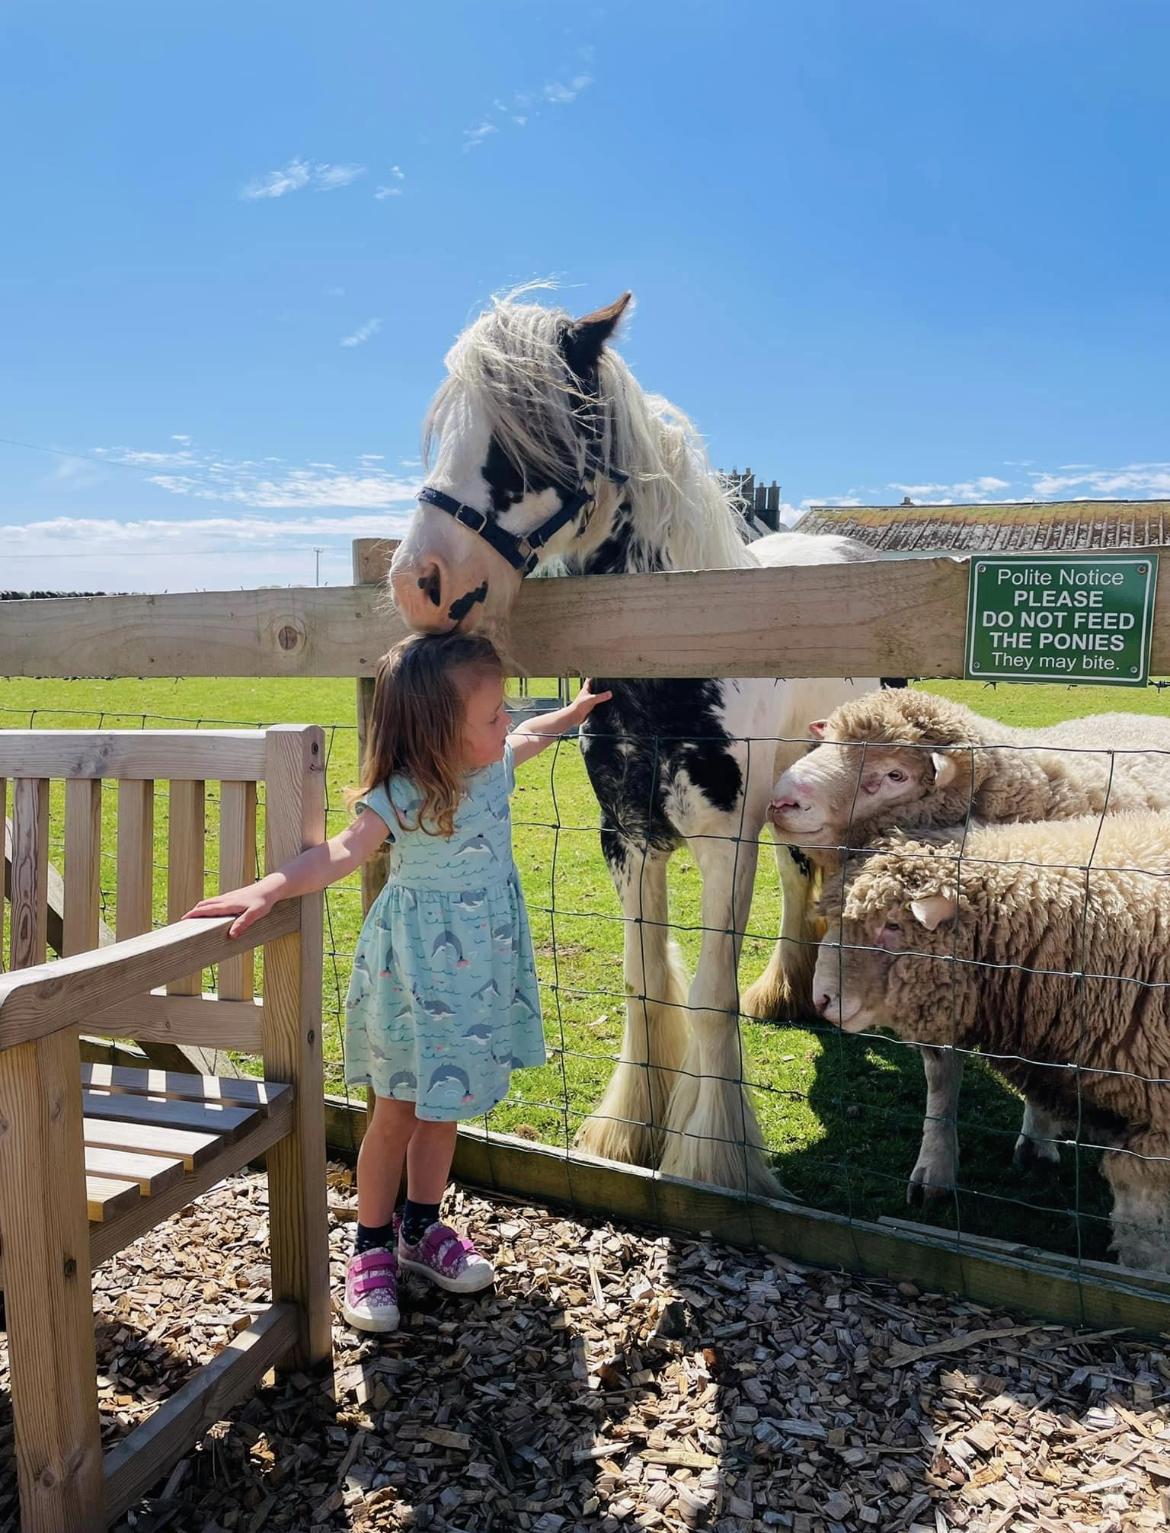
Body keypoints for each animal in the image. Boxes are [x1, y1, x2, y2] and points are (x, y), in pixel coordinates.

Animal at [392, 289, 877, 1195]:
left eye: (527, 429)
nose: (417, 582)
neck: (672, 661)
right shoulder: (626, 837)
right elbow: (645, 982)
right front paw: (630, 1132)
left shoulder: (725, 843)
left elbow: (708, 995)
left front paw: (714, 1157)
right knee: (800, 880)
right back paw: (787, 989)